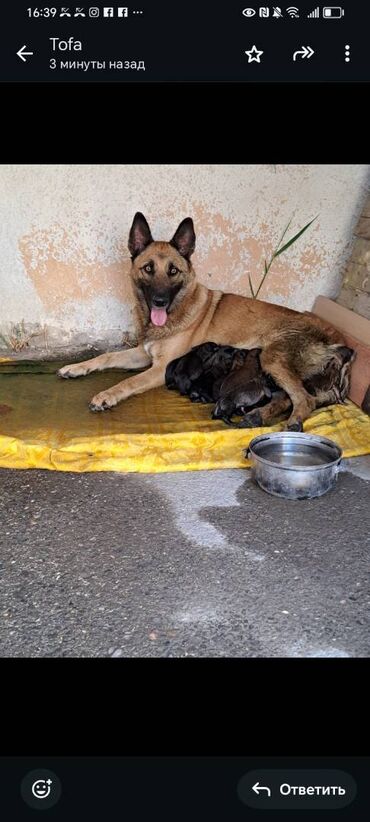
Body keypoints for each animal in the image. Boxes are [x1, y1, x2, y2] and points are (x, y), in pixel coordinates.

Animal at [57, 212, 350, 432]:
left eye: (173, 271)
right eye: (148, 268)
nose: (160, 301)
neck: (179, 309)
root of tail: (337, 337)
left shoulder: (159, 368)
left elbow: (127, 383)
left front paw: (106, 395)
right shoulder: (142, 354)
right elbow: (105, 357)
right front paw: (76, 367)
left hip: (271, 357)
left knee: (304, 400)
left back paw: (290, 425)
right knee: (290, 399)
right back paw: (258, 416)